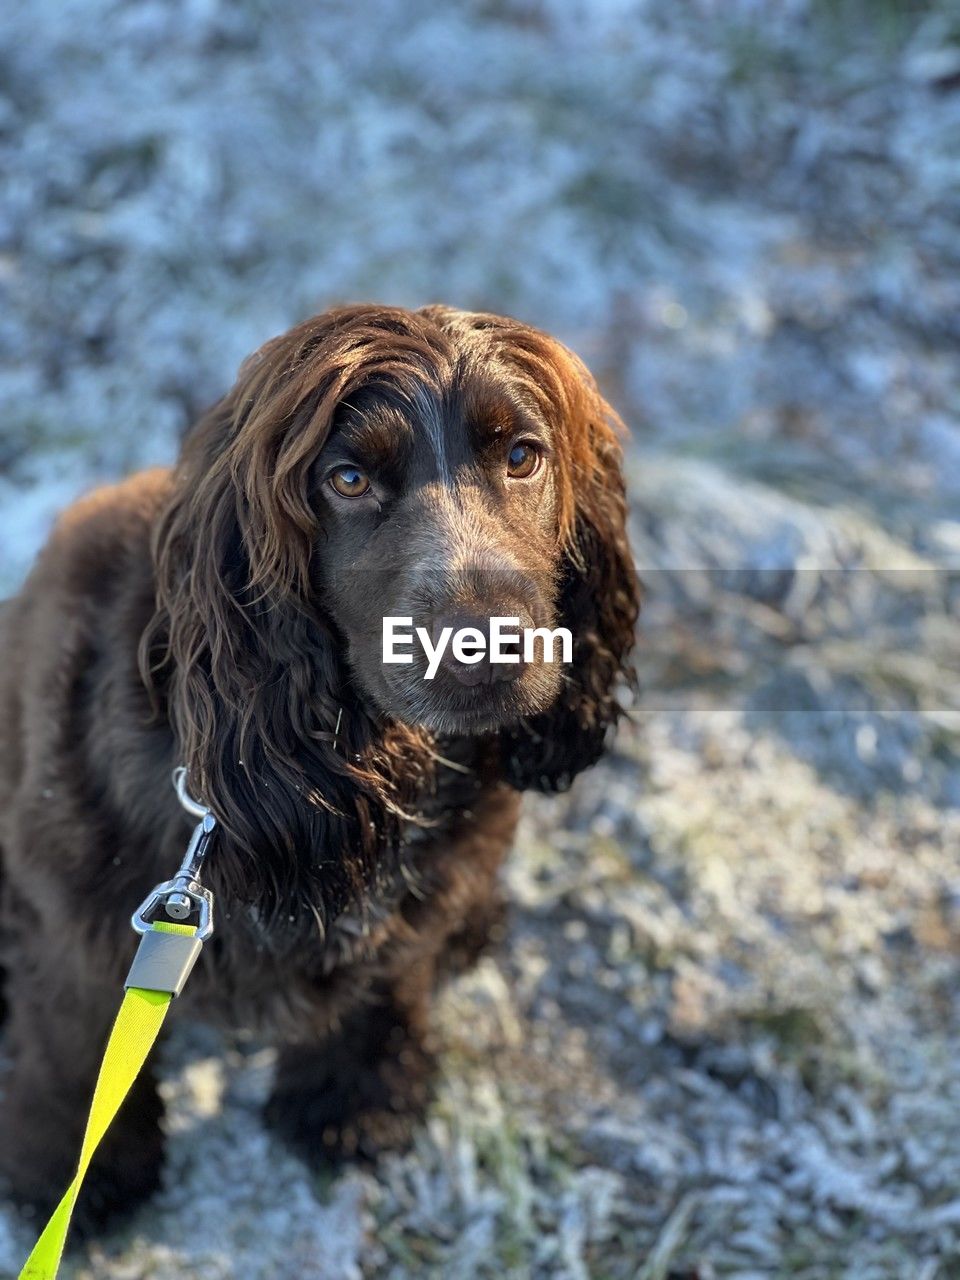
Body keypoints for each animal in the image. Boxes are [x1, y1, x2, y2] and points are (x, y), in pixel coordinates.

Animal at [0, 302, 640, 1228]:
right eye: (347, 479)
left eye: (522, 456)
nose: (488, 650)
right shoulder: (72, 908)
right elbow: (71, 1041)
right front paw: (73, 1179)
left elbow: (388, 969)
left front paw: (353, 1099)